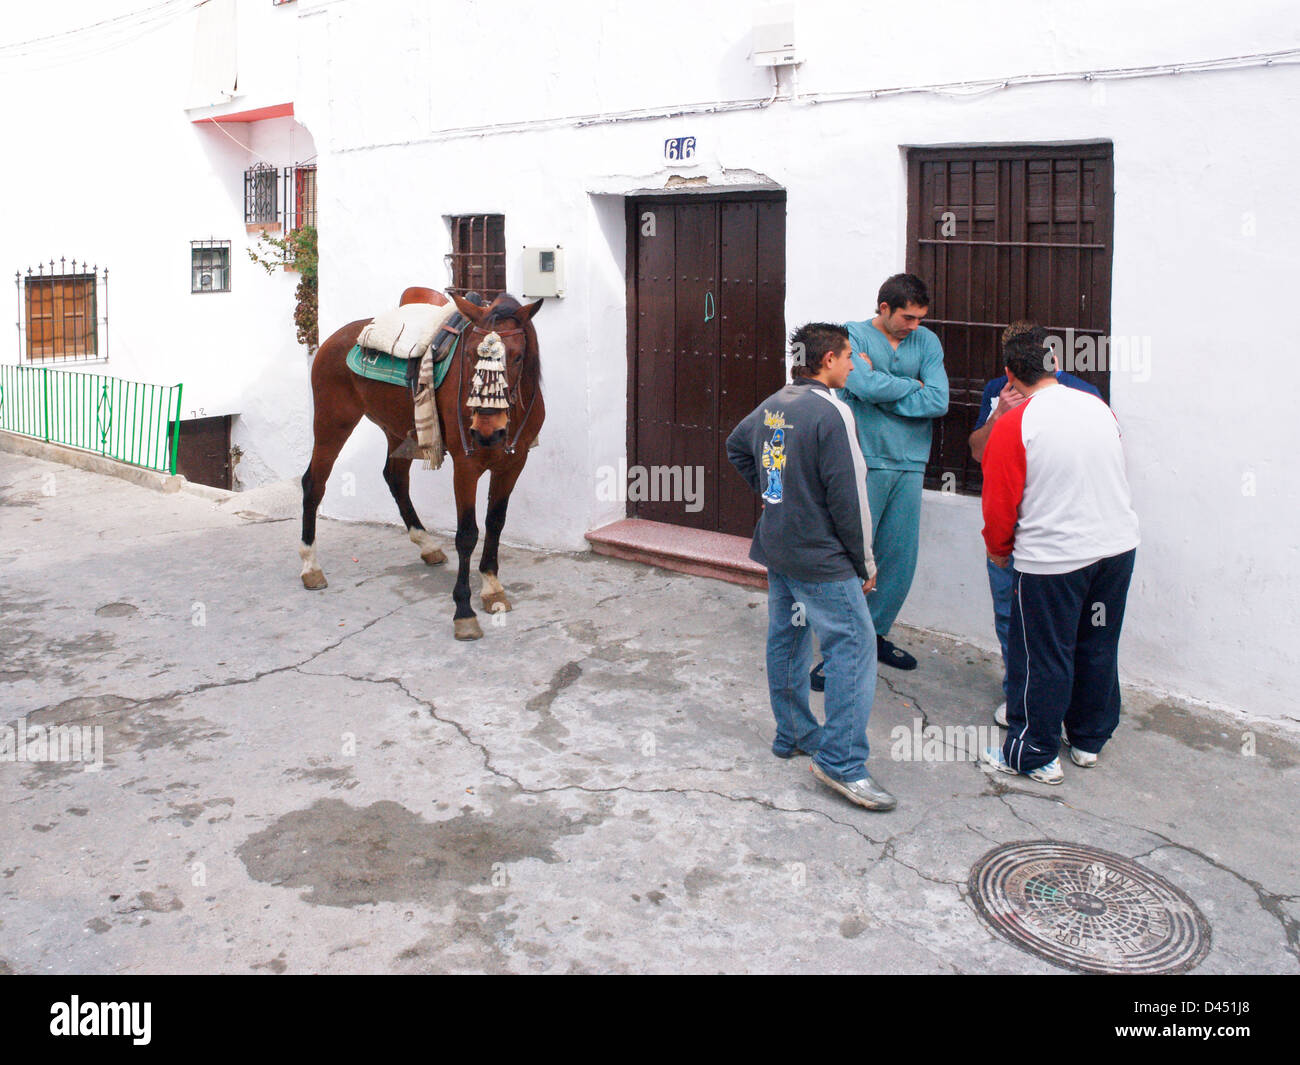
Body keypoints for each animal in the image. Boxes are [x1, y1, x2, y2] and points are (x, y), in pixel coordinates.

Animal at [299, 287, 543, 642]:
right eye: (469, 356)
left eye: (517, 357)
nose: (486, 430)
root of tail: (334, 339)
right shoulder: (466, 465)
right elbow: (467, 534)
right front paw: (464, 612)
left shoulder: (513, 462)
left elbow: (496, 523)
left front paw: (491, 587)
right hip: (333, 423)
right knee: (314, 483)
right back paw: (310, 566)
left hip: (396, 428)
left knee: (395, 477)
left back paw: (426, 545)